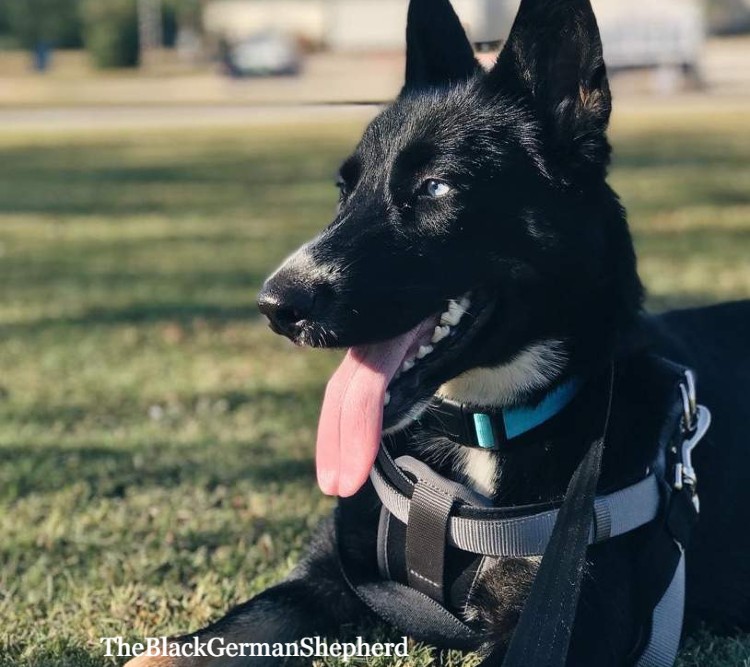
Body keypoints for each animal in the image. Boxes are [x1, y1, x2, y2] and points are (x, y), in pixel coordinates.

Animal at [129, 0, 750, 664]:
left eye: (435, 187)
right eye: (345, 189)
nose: (275, 306)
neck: (480, 428)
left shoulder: (570, 623)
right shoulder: (327, 575)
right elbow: (203, 637)